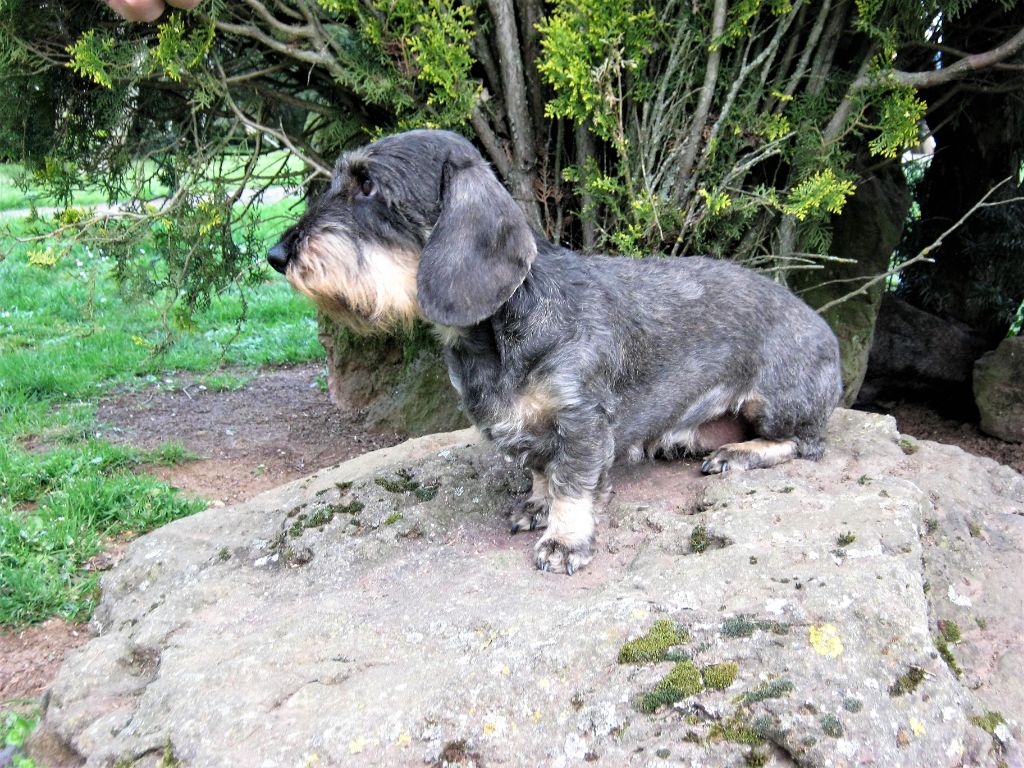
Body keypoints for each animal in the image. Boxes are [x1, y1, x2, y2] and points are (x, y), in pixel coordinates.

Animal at [268, 132, 843, 573]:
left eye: (368, 186)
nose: (276, 254)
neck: (500, 330)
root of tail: (825, 331)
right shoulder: (533, 428)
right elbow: (543, 471)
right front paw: (537, 507)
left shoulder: (582, 418)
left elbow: (571, 482)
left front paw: (565, 540)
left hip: (773, 403)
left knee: (806, 444)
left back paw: (738, 453)